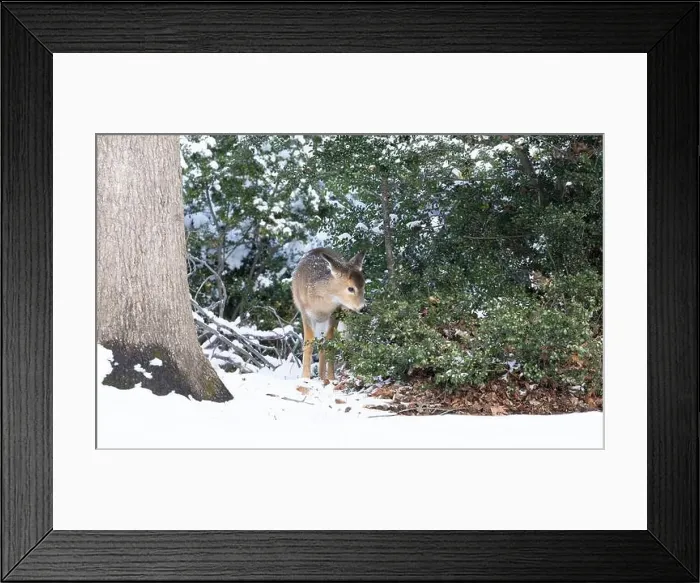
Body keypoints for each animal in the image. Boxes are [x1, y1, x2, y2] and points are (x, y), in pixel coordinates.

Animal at [291, 247, 367, 382]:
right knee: (320, 344)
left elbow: (330, 344)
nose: (362, 308)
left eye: (364, 285)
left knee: (326, 344)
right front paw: (305, 377)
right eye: (350, 288)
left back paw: (323, 377)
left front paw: (331, 378)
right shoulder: (305, 314)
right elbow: (308, 344)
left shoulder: (335, 313)